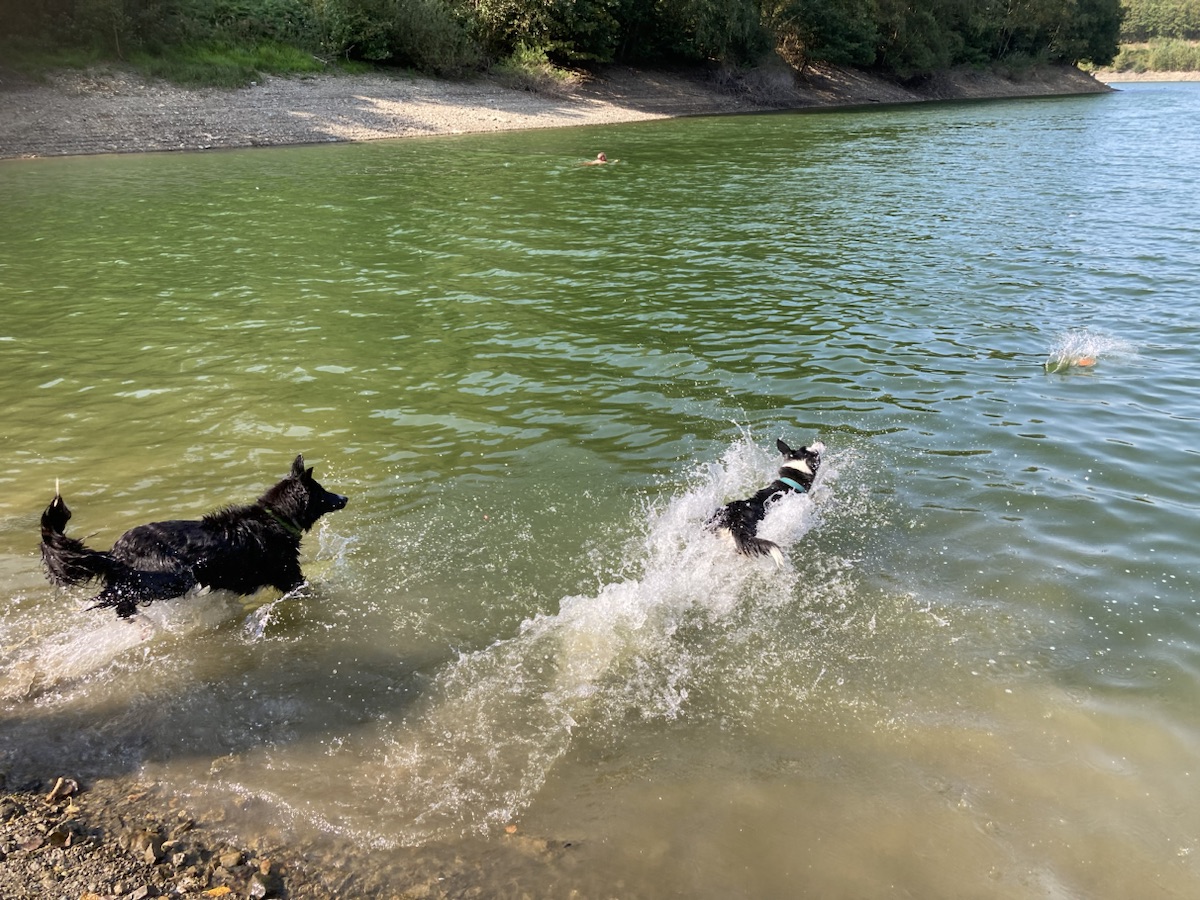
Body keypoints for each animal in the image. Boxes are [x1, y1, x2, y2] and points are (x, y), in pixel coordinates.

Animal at [38, 453, 348, 619]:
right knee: (115, 597)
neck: (275, 517)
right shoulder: (287, 574)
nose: (344, 498)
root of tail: (115, 554)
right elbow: (306, 586)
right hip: (173, 578)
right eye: (322, 491)